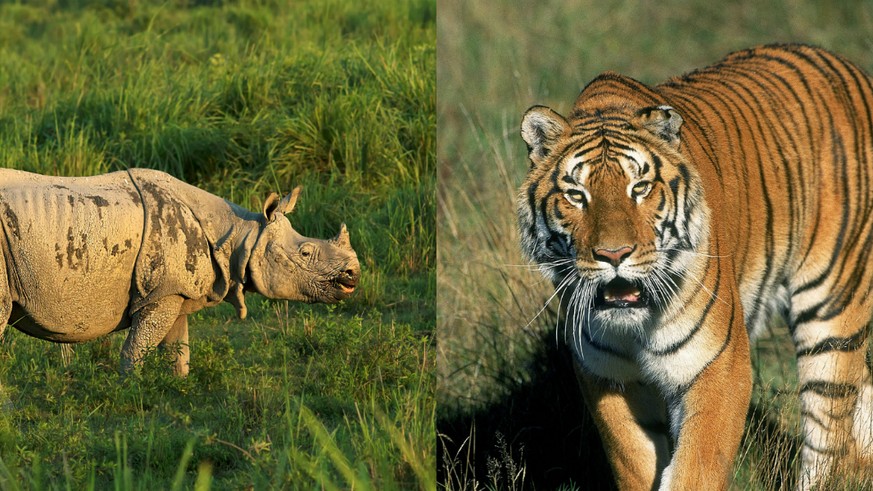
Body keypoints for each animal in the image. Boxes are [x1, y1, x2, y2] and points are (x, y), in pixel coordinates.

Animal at [516, 44, 872, 490]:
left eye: (640, 188)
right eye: (577, 195)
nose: (614, 254)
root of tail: (847, 65)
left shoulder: (718, 365)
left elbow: (696, 468)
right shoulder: (607, 376)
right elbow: (634, 461)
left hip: (832, 312)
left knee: (828, 437)